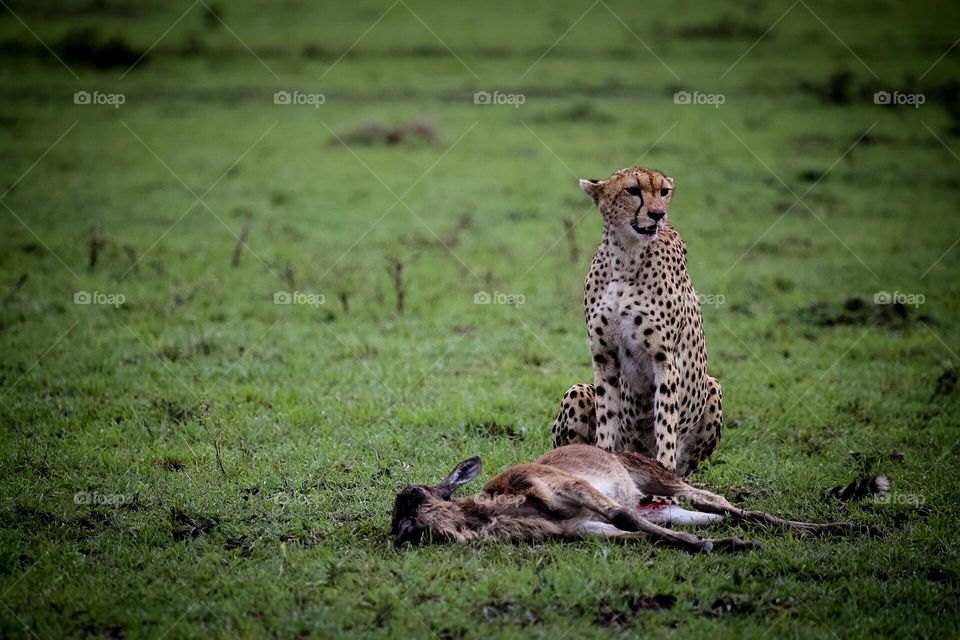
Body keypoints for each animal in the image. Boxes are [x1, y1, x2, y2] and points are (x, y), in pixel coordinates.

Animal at [551, 167, 722, 477]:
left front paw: (664, 468)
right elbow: (607, 415)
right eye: (632, 190)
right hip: (577, 391)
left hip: (712, 386)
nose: (657, 214)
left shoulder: (665, 360)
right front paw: (604, 461)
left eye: (664, 192)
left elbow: (665, 419)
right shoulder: (603, 356)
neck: (626, 257)